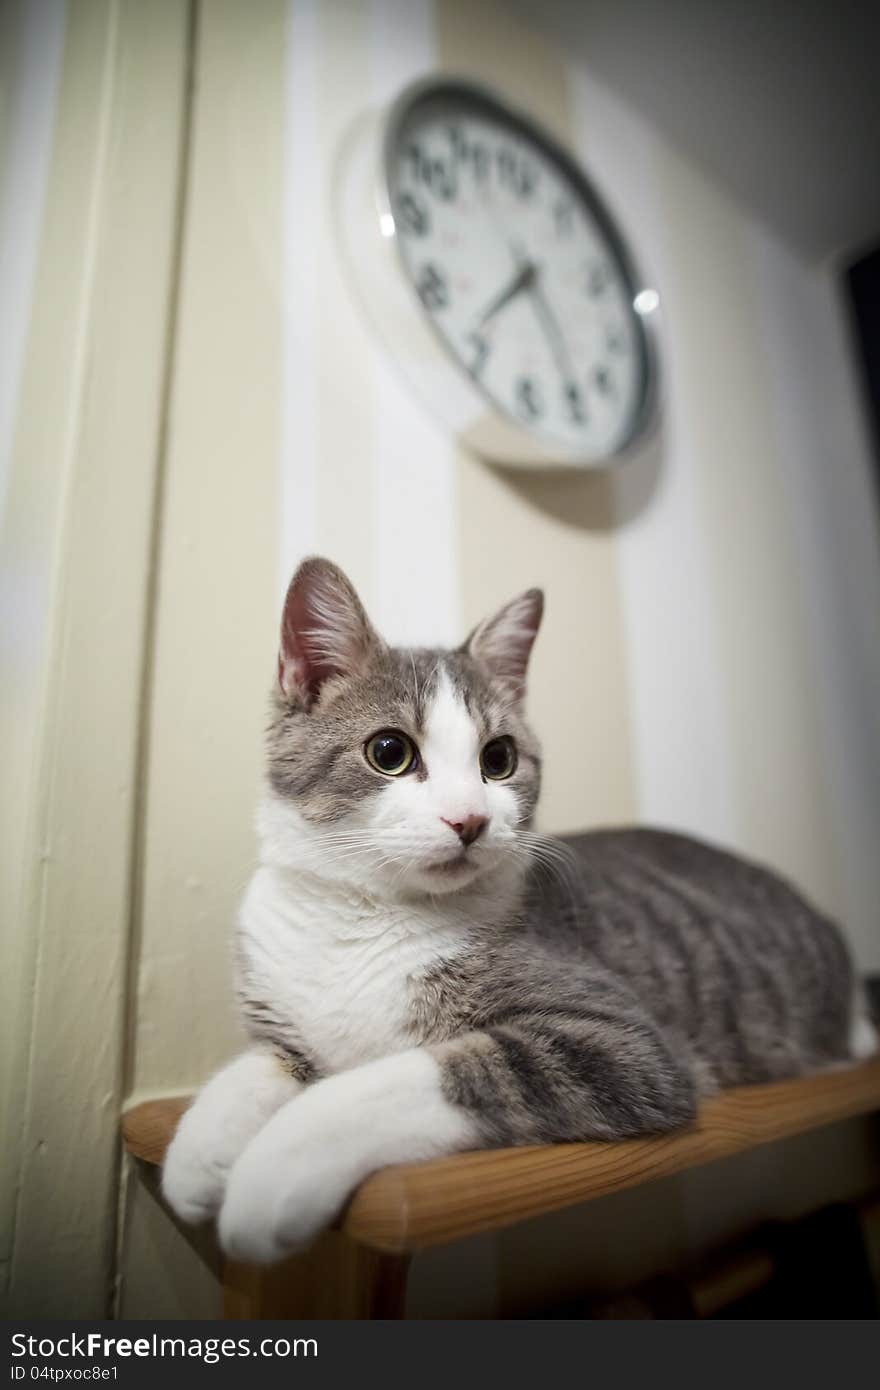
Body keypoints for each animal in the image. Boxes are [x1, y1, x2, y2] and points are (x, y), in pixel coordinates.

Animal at [161, 553, 873, 1262]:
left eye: (498, 759)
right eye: (389, 752)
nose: (470, 819)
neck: (367, 914)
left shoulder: (623, 1044)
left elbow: (410, 1077)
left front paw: (272, 1175)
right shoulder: (279, 1000)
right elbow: (263, 1062)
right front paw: (200, 1151)